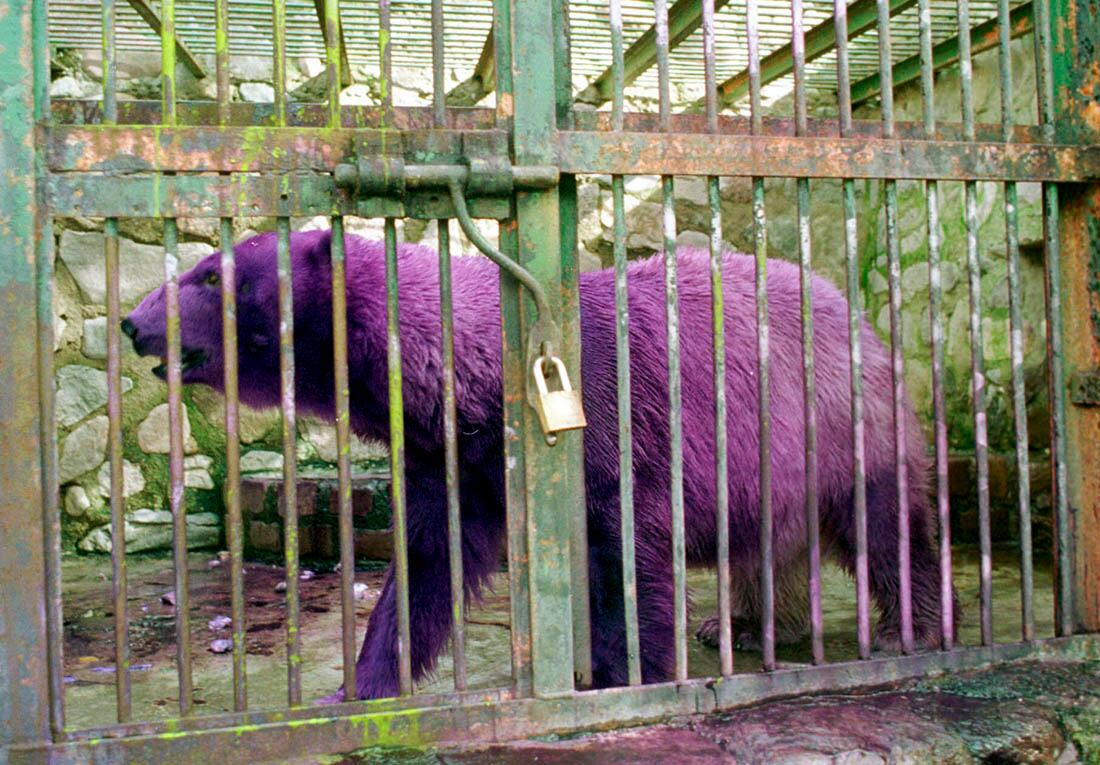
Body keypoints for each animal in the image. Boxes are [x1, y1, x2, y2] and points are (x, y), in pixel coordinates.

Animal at [126, 228, 946, 700]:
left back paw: (913, 624)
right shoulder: (452, 456)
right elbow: (429, 562)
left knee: (886, 521)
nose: (133, 323)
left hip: (838, 420)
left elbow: (624, 552)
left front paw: (625, 672)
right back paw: (739, 620)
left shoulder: (612, 422)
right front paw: (360, 684)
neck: (476, 377)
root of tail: (849, 302)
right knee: (765, 541)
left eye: (209, 274)